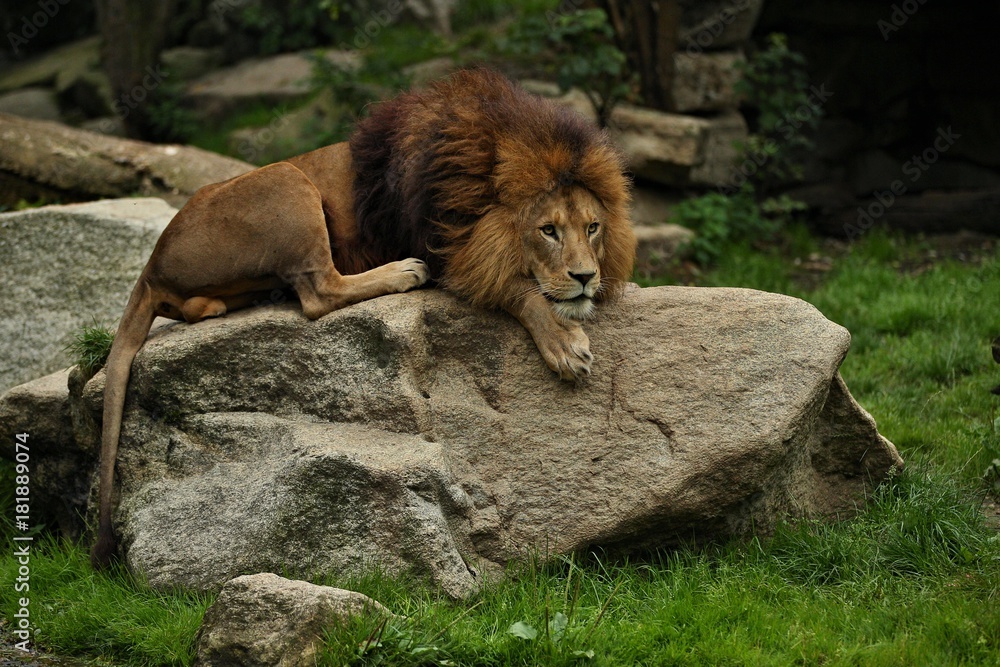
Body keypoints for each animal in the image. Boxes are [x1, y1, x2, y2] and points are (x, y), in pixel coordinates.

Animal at [91, 68, 635, 567]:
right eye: (548, 230)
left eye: (593, 227)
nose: (586, 276)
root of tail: (152, 263)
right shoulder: (451, 249)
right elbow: (521, 290)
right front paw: (563, 342)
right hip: (288, 179)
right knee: (317, 292)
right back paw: (401, 272)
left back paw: (223, 304)